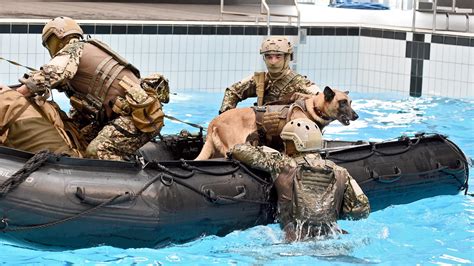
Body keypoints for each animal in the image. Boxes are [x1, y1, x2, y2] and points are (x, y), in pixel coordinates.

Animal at [194, 86, 358, 159]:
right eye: (342, 102)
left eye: (350, 102)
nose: (356, 116)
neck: (313, 107)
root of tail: (213, 122)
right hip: (233, 145)